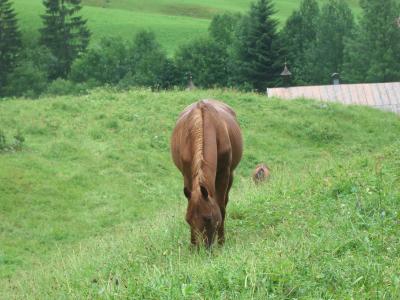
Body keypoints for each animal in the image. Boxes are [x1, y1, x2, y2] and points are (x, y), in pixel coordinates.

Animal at [170, 99, 242, 247]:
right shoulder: (187, 175)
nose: (201, 248)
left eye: (208, 218)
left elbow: (221, 207)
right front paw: (192, 245)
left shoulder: (223, 174)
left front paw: (221, 243)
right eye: (188, 220)